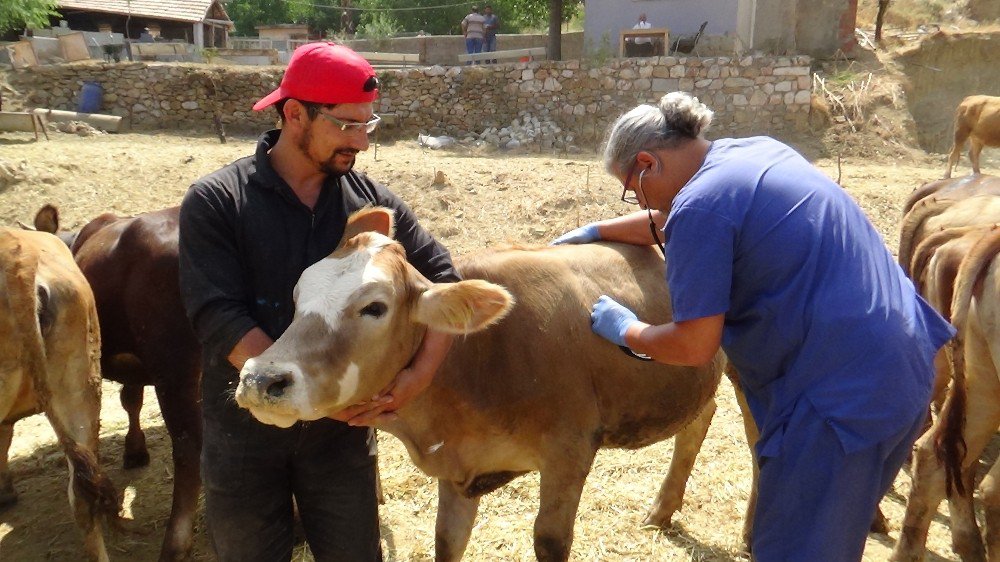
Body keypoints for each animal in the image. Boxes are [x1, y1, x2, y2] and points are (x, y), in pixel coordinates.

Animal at [238, 207, 732, 560]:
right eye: (298, 295)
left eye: (374, 307)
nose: (262, 378)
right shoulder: (457, 472)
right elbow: (447, 540)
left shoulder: (569, 452)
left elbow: (549, 540)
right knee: (698, 420)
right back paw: (663, 510)